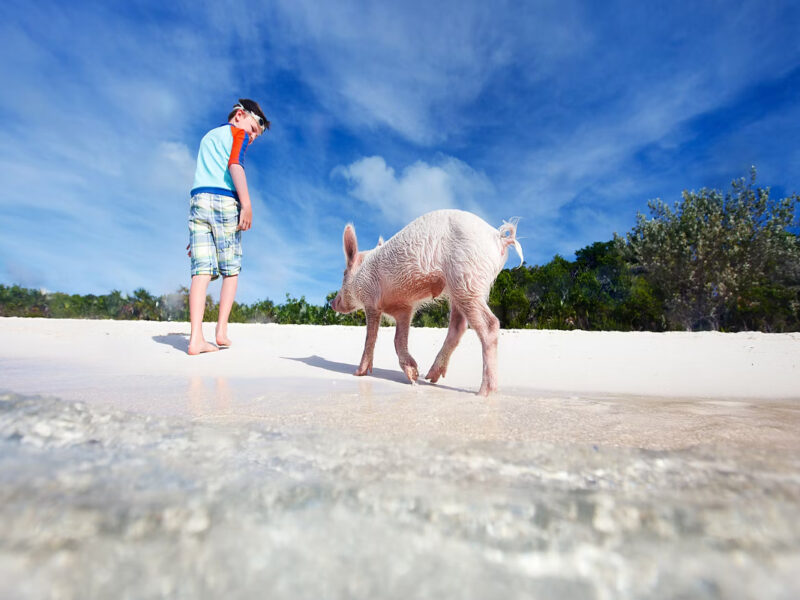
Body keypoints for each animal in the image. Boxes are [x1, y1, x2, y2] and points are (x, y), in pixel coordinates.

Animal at [331, 209, 523, 396]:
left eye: (343, 273)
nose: (333, 302)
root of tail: (499, 237)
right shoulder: (404, 308)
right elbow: (399, 338)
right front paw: (414, 375)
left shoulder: (371, 300)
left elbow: (370, 337)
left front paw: (358, 373)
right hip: (460, 287)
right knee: (459, 326)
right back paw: (431, 378)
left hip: (467, 278)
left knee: (490, 324)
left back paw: (483, 393)